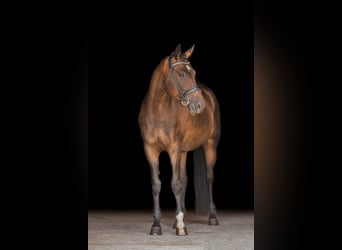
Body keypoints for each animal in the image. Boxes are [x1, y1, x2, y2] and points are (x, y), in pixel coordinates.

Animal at [139, 44, 222, 235]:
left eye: (194, 73)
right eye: (182, 74)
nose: (200, 105)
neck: (158, 111)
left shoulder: (173, 149)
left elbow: (175, 184)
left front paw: (181, 227)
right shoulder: (150, 150)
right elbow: (157, 185)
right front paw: (156, 225)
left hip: (210, 145)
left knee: (209, 177)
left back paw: (212, 218)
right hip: (184, 152)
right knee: (184, 181)